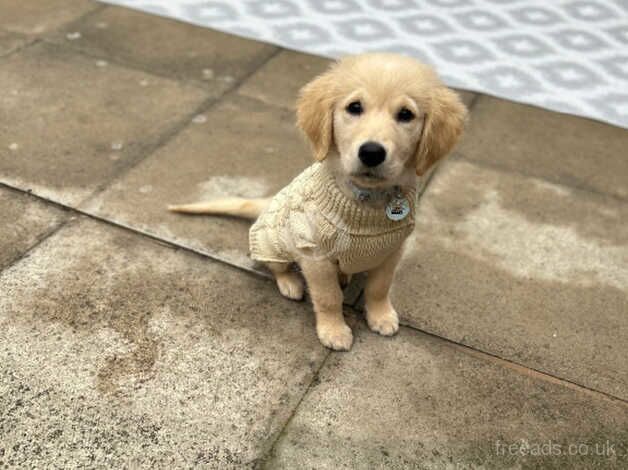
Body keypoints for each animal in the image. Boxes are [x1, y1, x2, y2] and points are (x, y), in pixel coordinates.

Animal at [170, 53, 466, 350]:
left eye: (406, 114)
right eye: (354, 107)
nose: (371, 153)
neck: (365, 199)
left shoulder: (391, 251)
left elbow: (379, 287)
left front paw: (381, 315)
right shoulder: (315, 257)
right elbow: (328, 297)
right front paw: (333, 330)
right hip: (272, 246)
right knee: (276, 267)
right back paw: (290, 283)